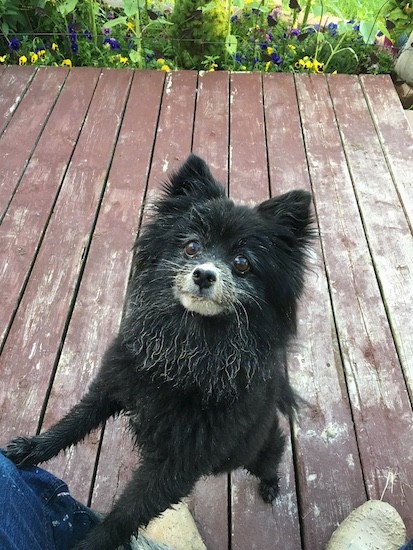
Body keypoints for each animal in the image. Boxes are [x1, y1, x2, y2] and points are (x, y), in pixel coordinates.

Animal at [4, 155, 312, 550]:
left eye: (242, 263)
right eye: (191, 247)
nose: (204, 274)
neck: (186, 345)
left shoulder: (176, 465)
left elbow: (126, 515)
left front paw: (90, 544)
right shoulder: (114, 384)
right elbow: (72, 423)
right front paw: (31, 449)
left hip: (256, 450)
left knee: (272, 457)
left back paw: (272, 483)